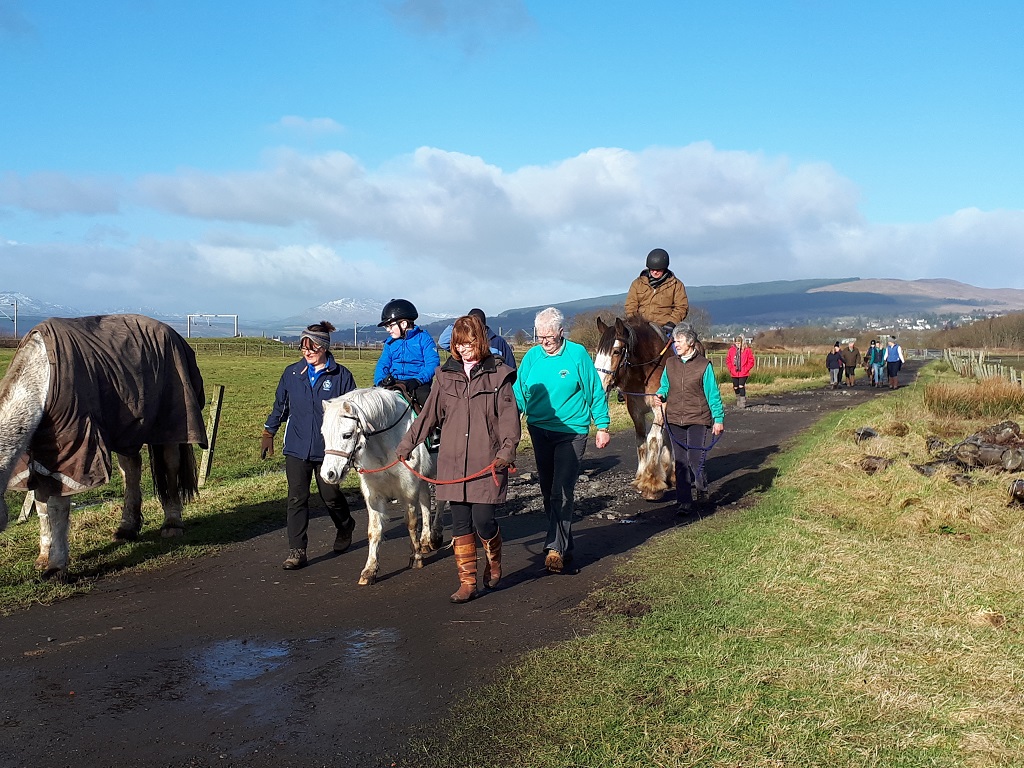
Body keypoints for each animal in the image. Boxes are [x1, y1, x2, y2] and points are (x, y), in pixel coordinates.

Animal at [319, 387, 440, 585]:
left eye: (347, 435)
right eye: (323, 434)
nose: (328, 474)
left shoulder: (408, 488)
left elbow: (411, 522)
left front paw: (415, 557)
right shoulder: (373, 494)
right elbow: (374, 530)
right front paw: (369, 570)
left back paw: (435, 535)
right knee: (426, 503)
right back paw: (425, 540)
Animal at [598, 315, 675, 501]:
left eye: (616, 351)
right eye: (598, 351)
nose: (599, 384)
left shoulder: (660, 407)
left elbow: (653, 439)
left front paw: (651, 483)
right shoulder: (635, 411)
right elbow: (641, 440)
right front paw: (641, 476)